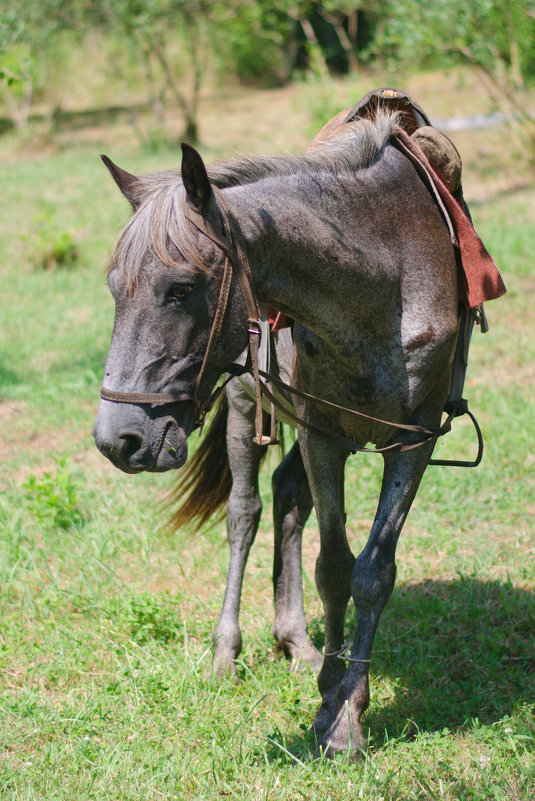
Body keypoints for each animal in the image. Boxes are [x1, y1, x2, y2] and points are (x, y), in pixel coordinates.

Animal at [93, 97, 506, 752]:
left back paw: (298, 645)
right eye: (114, 289)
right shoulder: (322, 434)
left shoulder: (412, 439)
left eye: (181, 288)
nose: (118, 439)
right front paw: (332, 709)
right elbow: (332, 567)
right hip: (244, 405)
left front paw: (346, 710)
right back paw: (227, 652)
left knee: (287, 496)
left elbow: (372, 572)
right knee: (245, 515)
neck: (384, 275)